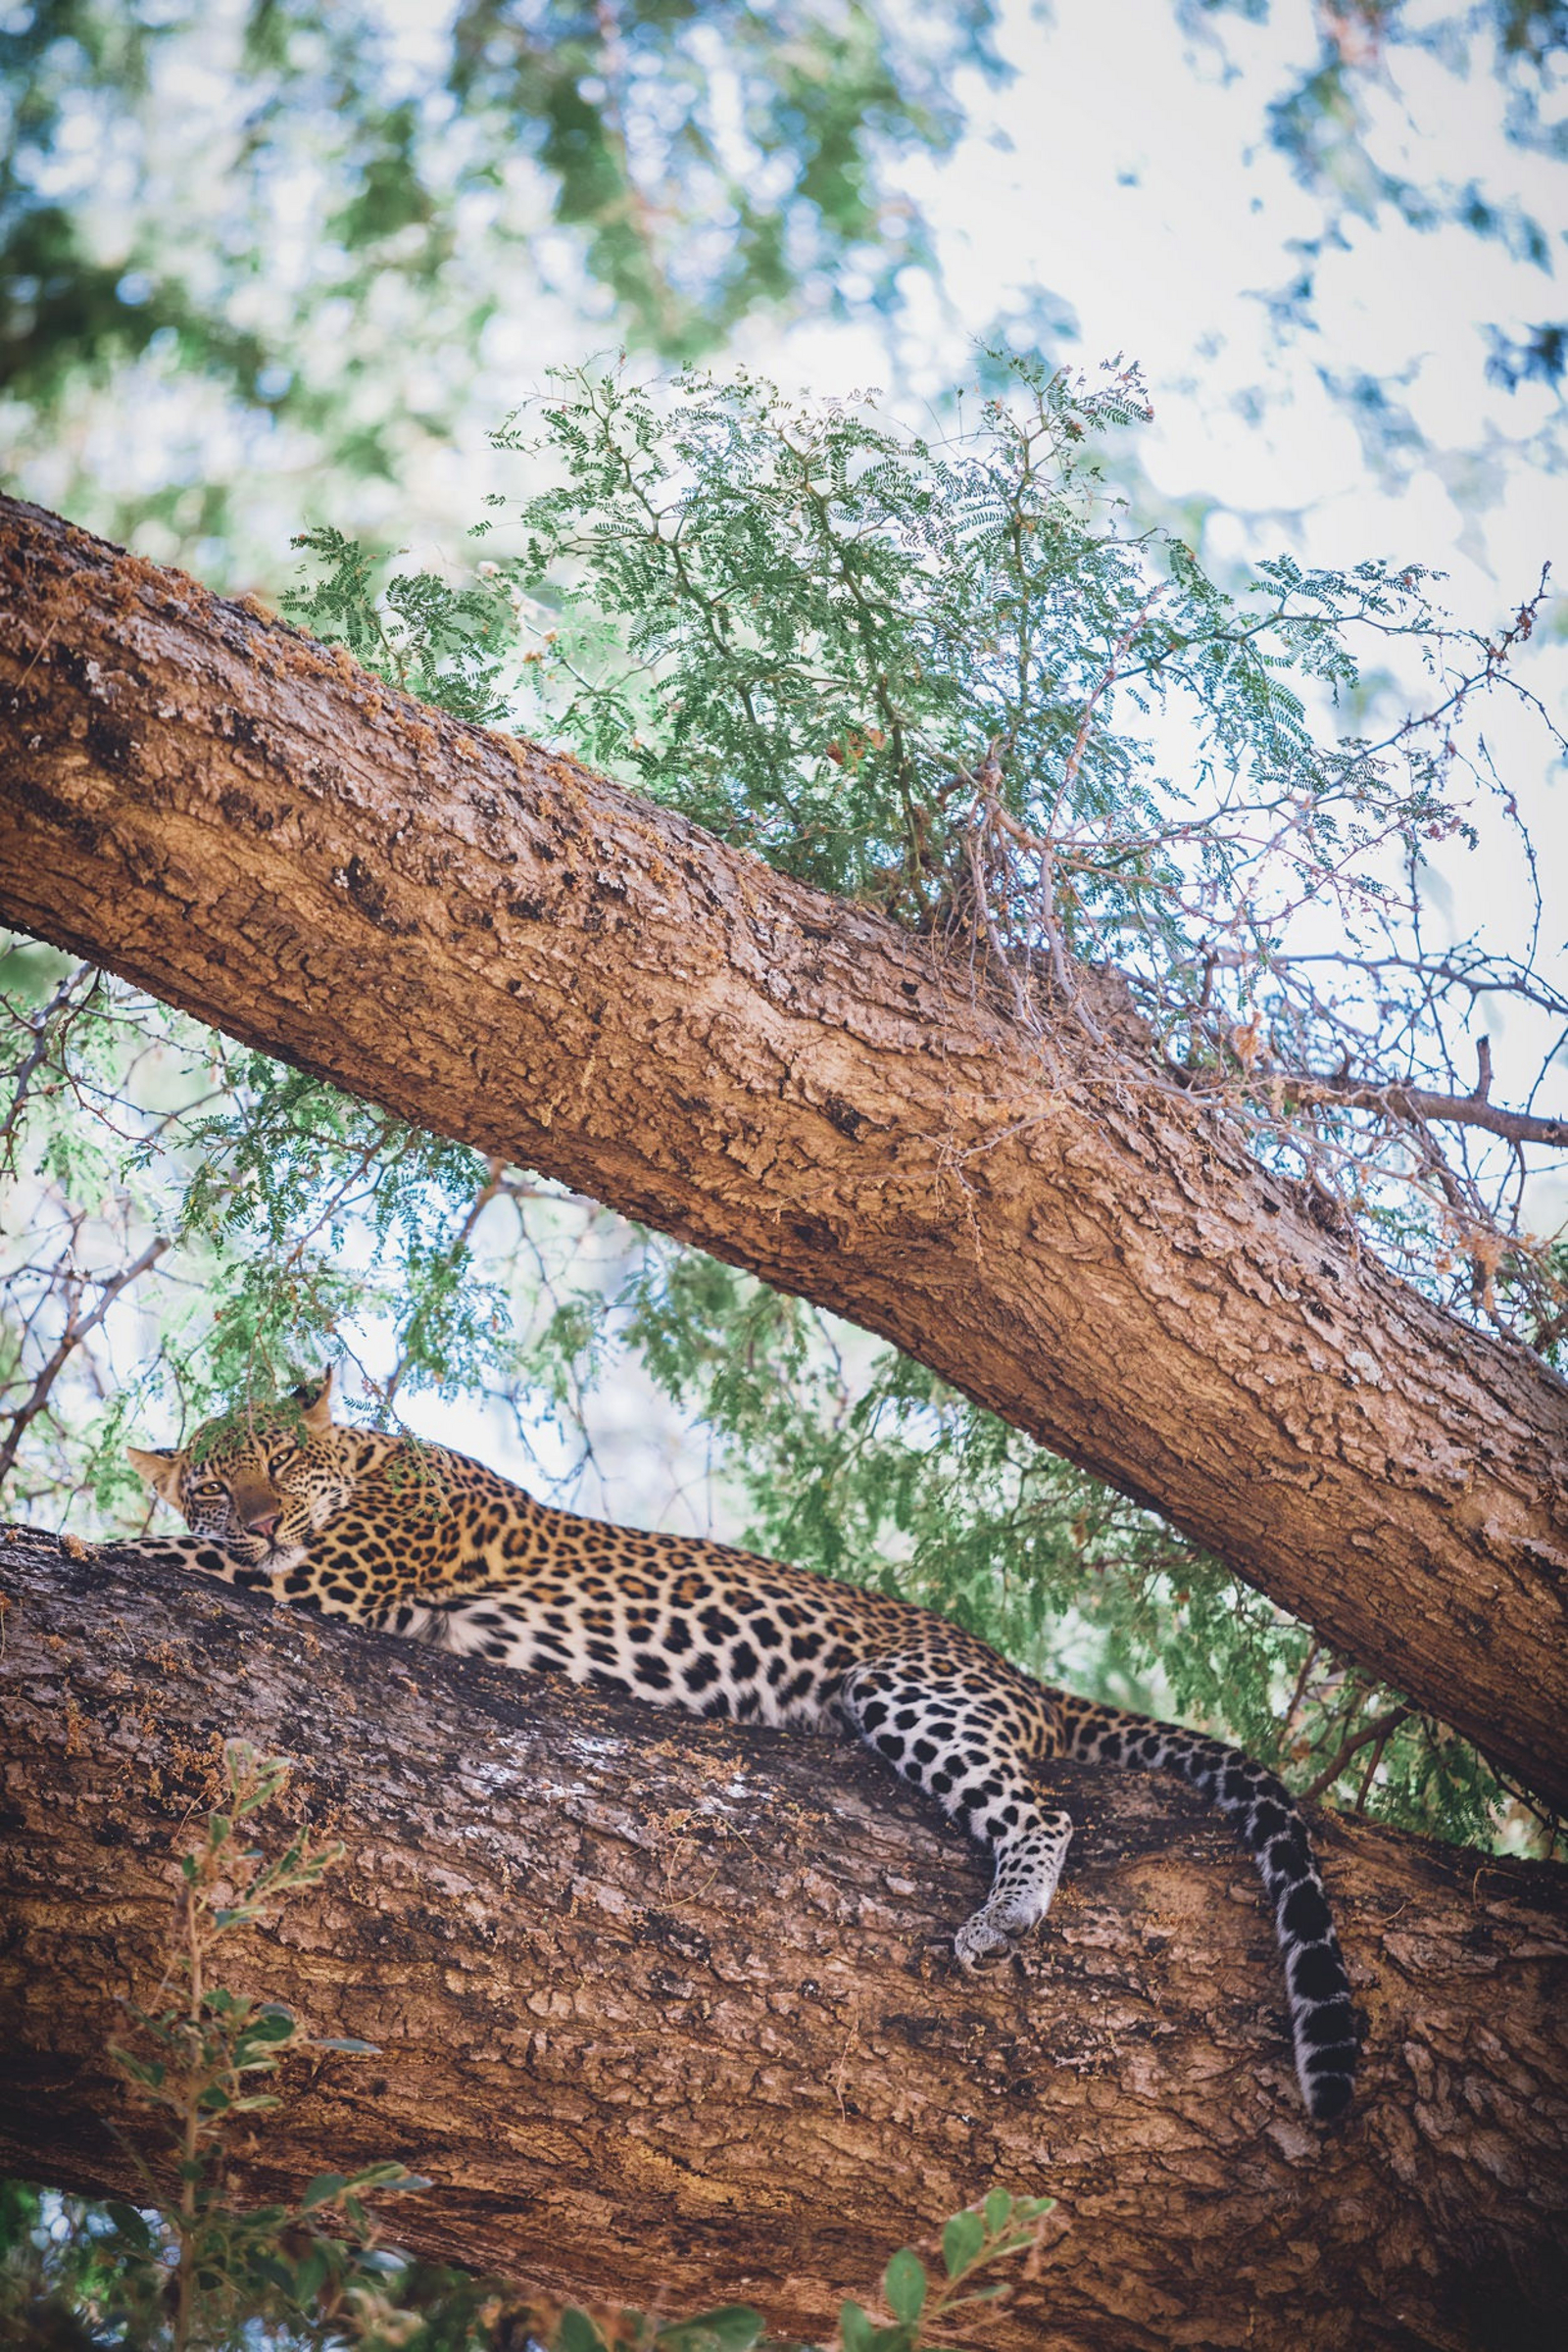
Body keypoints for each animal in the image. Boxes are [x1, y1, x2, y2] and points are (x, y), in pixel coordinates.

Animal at [119, 1369, 1359, 2122]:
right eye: (213, 1483)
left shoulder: (326, 1581)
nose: (259, 1518)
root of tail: (1013, 1671)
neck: (374, 1460)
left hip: (909, 1688)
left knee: (1043, 1807)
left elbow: (141, 1551)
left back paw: (1003, 1912)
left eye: (281, 1461)